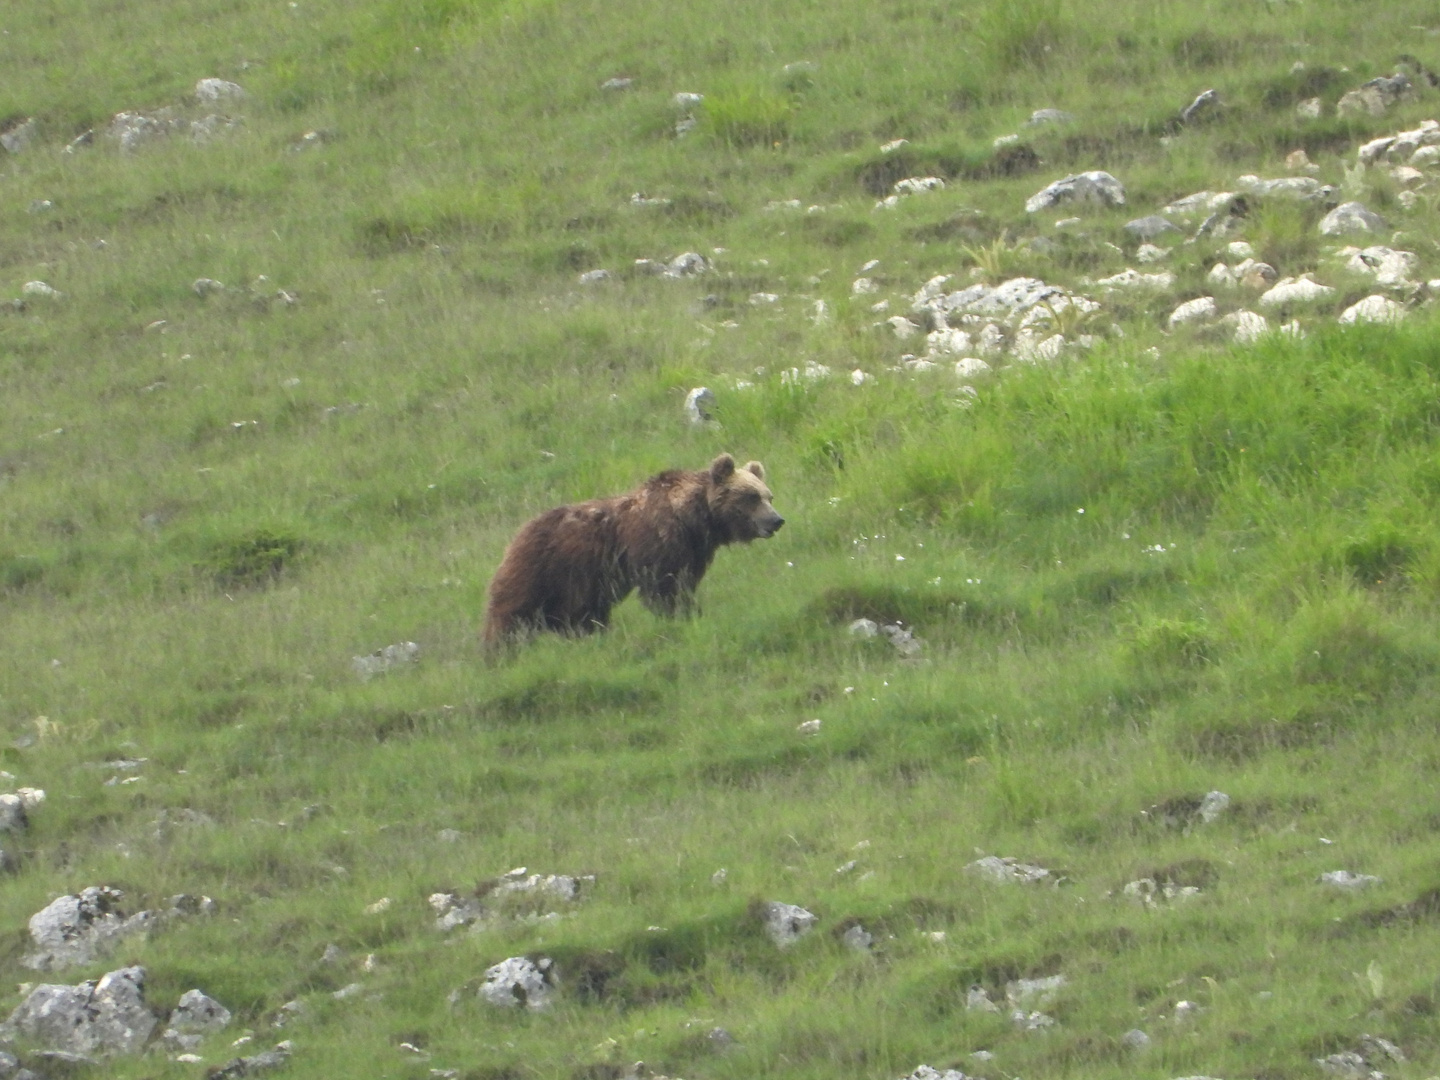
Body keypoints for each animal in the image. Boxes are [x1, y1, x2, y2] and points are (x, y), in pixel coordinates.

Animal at [483, 455, 783, 648]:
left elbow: (683, 583)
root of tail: (518, 534)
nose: (776, 520)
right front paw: (682, 615)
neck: (695, 519)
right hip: (541, 569)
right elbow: (664, 588)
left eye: (768, 495)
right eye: (751, 497)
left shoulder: (693, 552)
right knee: (511, 614)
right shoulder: (657, 544)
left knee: (578, 615)